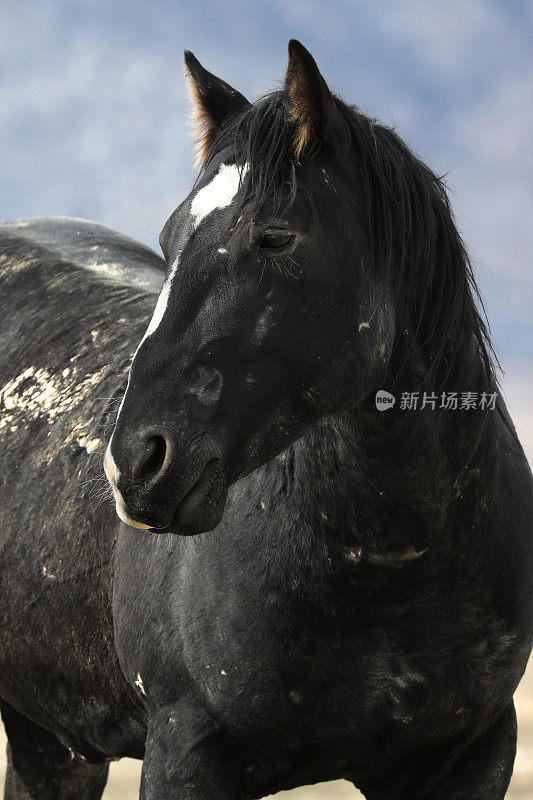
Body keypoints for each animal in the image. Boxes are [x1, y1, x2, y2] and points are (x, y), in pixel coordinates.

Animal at [1, 42, 532, 800]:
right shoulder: (187, 754)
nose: (135, 462)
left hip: (51, 740)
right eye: (168, 238)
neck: (392, 562)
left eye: (275, 237)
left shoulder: (471, 755)